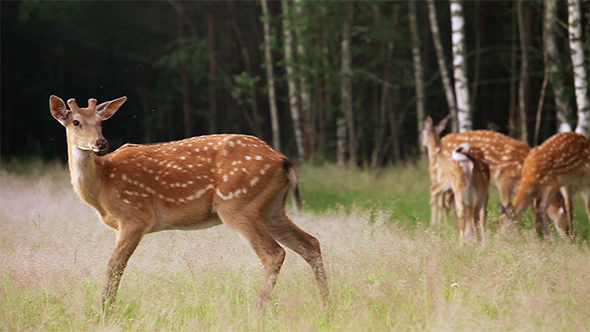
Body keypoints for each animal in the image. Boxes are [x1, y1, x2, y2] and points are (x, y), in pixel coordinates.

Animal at [48, 95, 330, 312]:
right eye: (76, 121)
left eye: (100, 123)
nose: (101, 142)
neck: (102, 186)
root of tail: (284, 160)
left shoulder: (135, 216)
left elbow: (114, 267)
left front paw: (103, 310)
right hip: (271, 208)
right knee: (310, 243)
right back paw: (326, 304)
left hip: (238, 204)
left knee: (275, 253)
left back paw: (258, 310)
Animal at [424, 116, 572, 231]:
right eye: (564, 213)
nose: (570, 232)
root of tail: (439, 146)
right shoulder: (503, 180)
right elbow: (508, 207)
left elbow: (531, 208)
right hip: (450, 173)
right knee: (435, 189)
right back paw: (436, 226)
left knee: (446, 197)